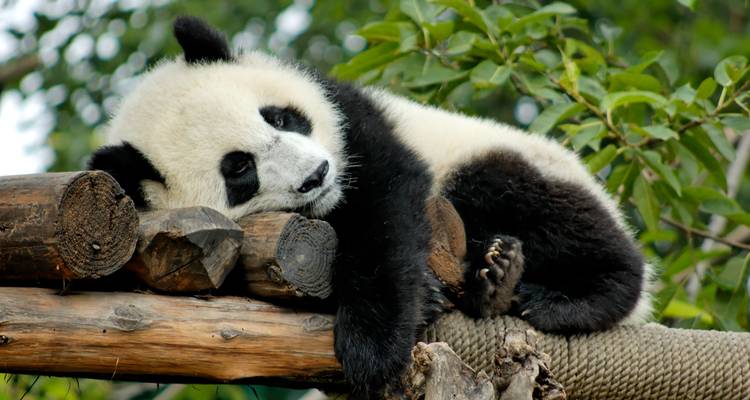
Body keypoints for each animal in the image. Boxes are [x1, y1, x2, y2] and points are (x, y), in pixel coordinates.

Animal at [89, 16, 652, 399]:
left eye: (280, 117)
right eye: (240, 170)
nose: (317, 175)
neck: (334, 203)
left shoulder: (353, 122)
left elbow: (387, 209)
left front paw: (373, 346)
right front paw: (419, 306)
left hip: (504, 160)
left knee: (531, 201)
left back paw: (562, 294)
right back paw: (494, 283)